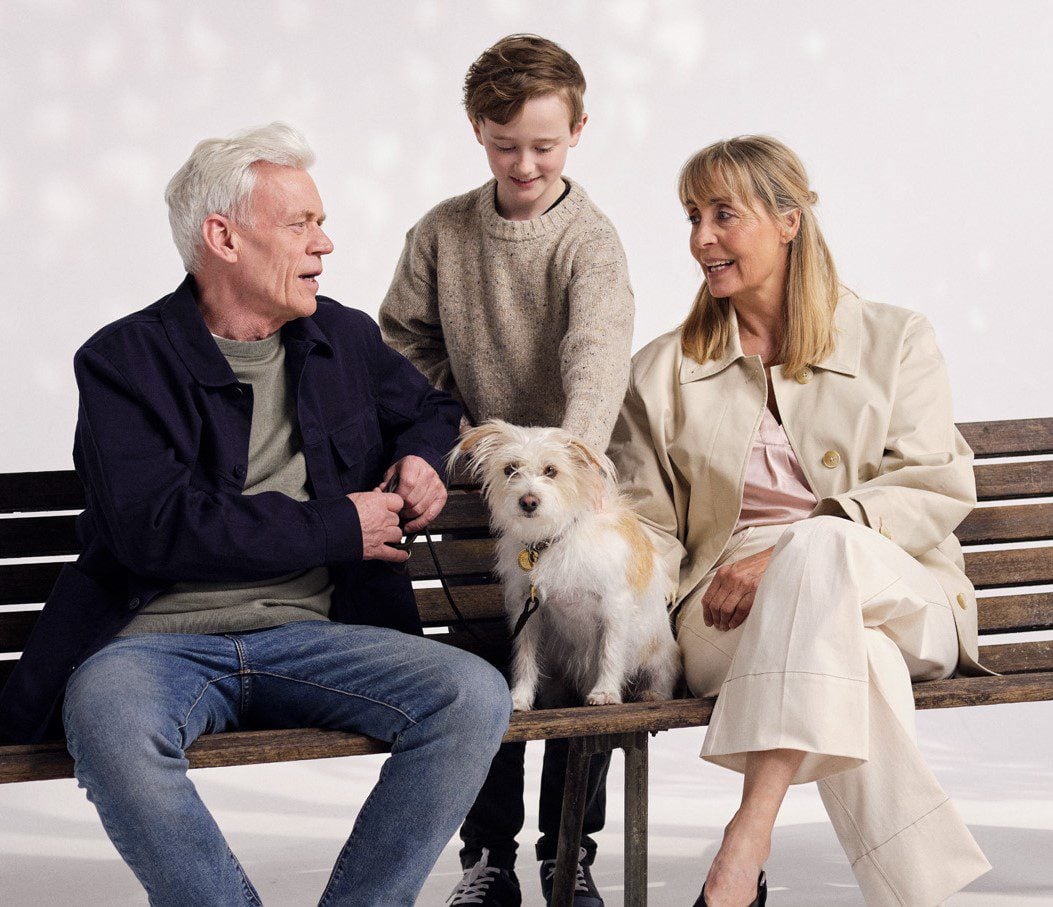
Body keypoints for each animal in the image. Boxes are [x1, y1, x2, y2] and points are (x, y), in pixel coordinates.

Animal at [450, 421, 682, 712]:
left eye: (551, 471)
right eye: (510, 469)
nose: (528, 502)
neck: (550, 541)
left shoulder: (615, 605)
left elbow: (610, 651)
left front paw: (605, 692)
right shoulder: (527, 610)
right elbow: (525, 657)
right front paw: (520, 697)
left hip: (657, 660)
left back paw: (650, 695)